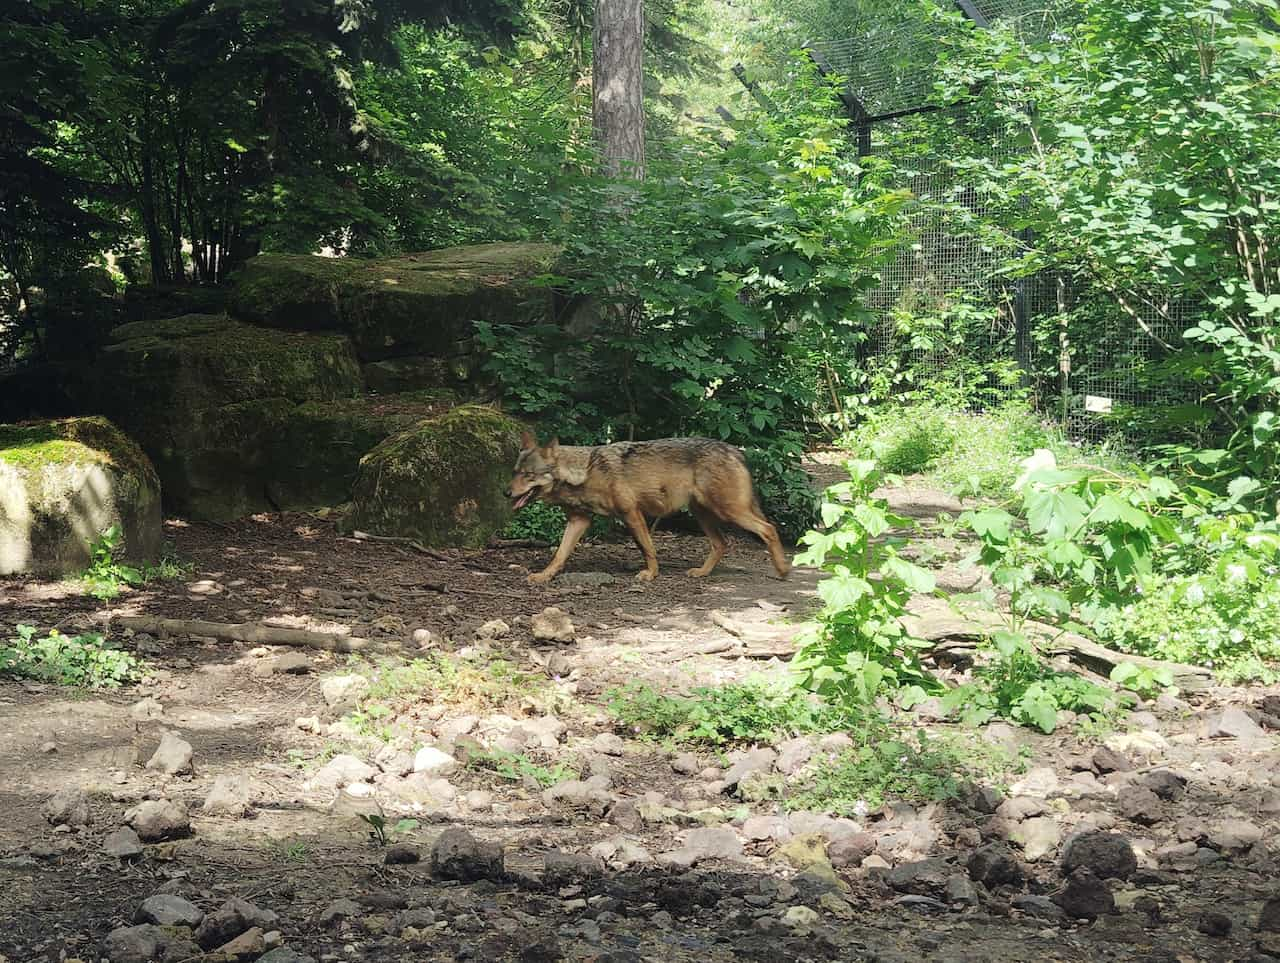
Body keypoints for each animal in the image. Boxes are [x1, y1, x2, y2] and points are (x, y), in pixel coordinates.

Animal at [501, 432, 788, 583]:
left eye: (528, 475)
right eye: (514, 472)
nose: (506, 493)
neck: (585, 473)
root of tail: (736, 450)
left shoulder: (632, 515)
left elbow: (647, 548)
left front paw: (651, 574)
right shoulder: (579, 521)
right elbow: (559, 555)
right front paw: (543, 576)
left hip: (728, 511)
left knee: (769, 528)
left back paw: (783, 570)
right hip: (703, 514)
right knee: (721, 544)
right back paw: (702, 572)